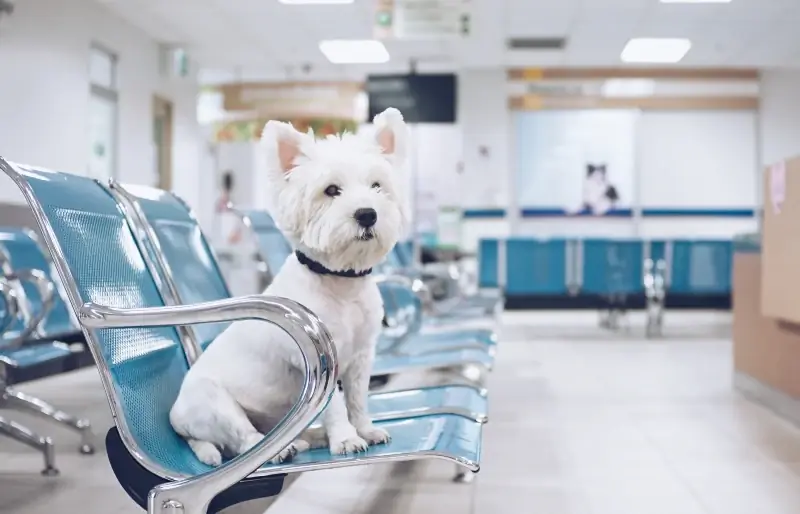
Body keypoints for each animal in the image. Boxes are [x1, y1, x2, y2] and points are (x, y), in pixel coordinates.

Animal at [168, 106, 406, 462]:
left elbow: (357, 399)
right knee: (244, 441)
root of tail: (176, 420)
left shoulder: (362, 356)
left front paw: (365, 430)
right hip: (213, 402)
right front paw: (346, 439)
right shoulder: (324, 362)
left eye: (377, 186)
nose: (367, 214)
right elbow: (335, 406)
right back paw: (282, 449)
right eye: (331, 190)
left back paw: (309, 438)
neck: (340, 282)